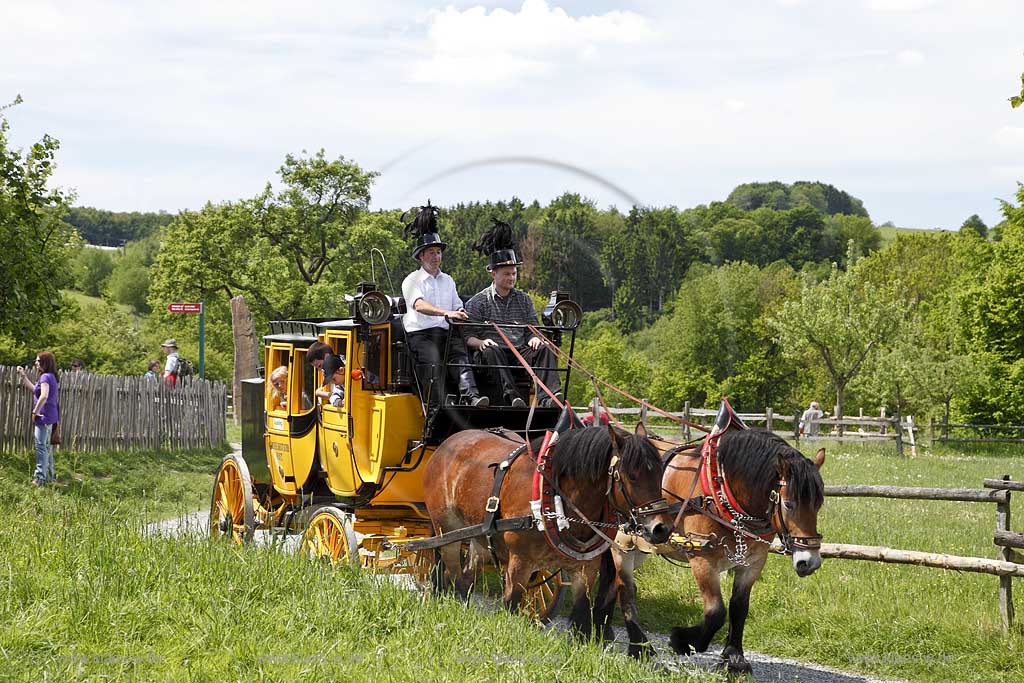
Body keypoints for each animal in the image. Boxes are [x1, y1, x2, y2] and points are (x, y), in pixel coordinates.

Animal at [419, 423, 675, 638]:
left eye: (660, 473)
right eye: (632, 476)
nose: (661, 528)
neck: (557, 499)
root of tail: (447, 444)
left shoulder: (585, 569)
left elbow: (581, 620)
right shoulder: (520, 564)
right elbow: (511, 606)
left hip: (479, 536)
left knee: (468, 571)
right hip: (446, 529)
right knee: (453, 572)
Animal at [598, 430, 827, 675]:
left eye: (819, 503)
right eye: (788, 504)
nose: (810, 562)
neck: (722, 494)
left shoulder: (753, 563)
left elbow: (739, 608)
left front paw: (734, 658)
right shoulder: (702, 559)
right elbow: (716, 612)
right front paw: (683, 641)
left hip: (642, 545)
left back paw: (603, 629)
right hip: (623, 544)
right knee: (625, 590)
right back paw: (638, 647)